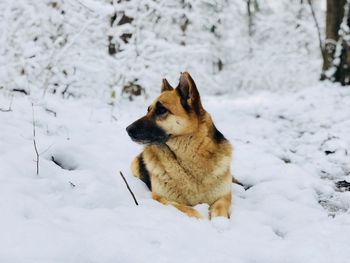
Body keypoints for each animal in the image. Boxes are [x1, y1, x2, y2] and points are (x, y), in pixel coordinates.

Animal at [126, 71, 232, 219]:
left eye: (161, 110)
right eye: (148, 110)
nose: (127, 129)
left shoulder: (223, 198)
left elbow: (219, 213)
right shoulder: (163, 199)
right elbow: (190, 211)